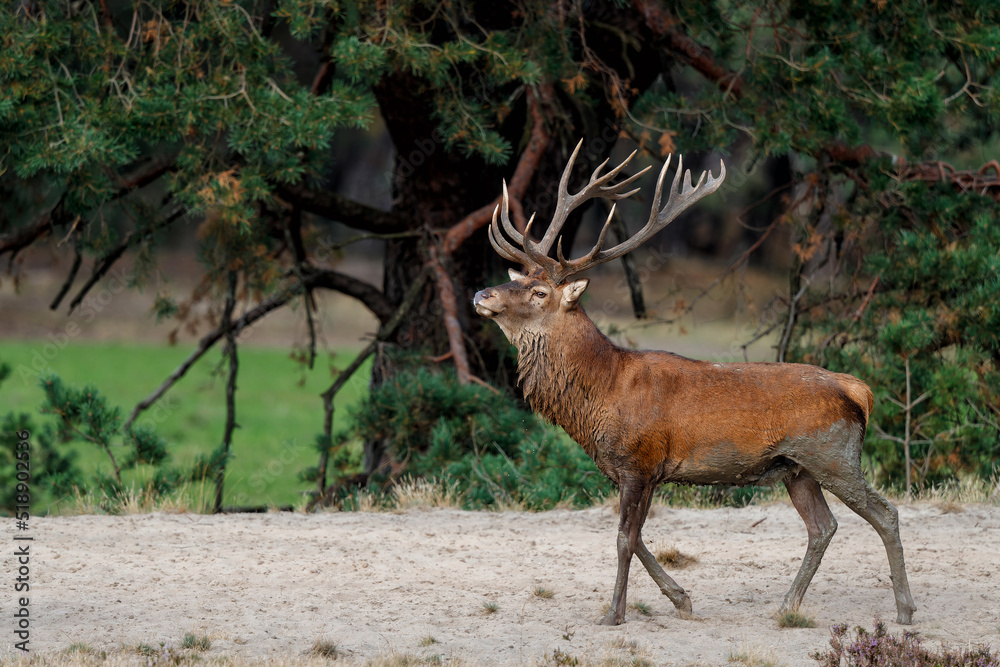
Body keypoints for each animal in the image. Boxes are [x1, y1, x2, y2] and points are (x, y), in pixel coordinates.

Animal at [473, 140, 917, 627]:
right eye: (520, 280)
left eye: (539, 293)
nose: (481, 294)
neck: (600, 395)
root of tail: (858, 390)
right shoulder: (634, 471)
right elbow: (638, 537)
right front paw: (681, 600)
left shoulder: (640, 461)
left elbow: (624, 539)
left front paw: (613, 614)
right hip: (797, 468)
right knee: (823, 526)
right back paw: (788, 605)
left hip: (833, 454)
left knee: (886, 513)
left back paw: (904, 610)